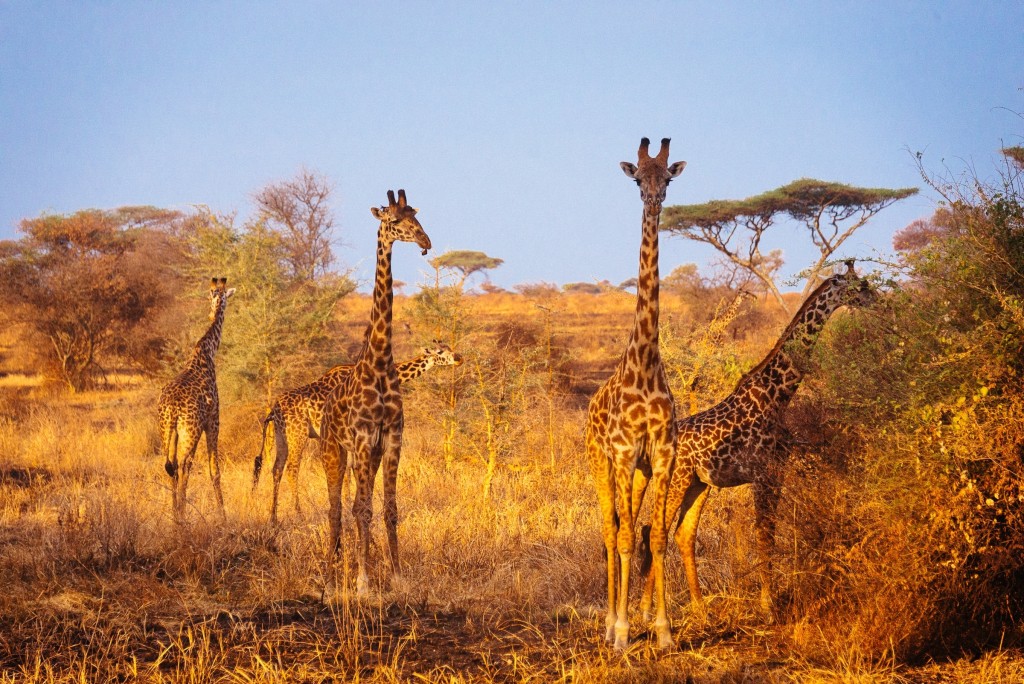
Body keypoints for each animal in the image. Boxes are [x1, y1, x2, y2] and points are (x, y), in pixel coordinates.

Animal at [157, 276, 235, 518]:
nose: (213, 313)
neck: (207, 351)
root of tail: (172, 409)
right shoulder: (214, 420)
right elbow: (214, 471)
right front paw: (223, 515)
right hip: (189, 432)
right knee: (184, 465)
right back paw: (182, 517)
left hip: (167, 431)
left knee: (171, 466)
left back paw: (175, 516)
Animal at [251, 342, 464, 524]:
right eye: (440, 352)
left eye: (449, 347)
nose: (459, 358)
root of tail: (274, 409)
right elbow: (351, 470)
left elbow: (348, 470)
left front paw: (348, 505)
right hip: (298, 432)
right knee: (292, 468)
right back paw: (299, 514)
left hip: (282, 434)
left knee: (276, 468)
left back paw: (273, 517)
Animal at [321, 187, 430, 593]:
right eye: (395, 220)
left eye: (417, 216)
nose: (425, 242)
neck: (381, 362)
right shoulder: (365, 438)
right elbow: (363, 510)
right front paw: (363, 581)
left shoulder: (392, 439)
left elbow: (389, 508)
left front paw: (398, 577)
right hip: (334, 453)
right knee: (336, 509)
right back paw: (331, 576)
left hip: (361, 456)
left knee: (354, 504)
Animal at [638, 260, 872, 614]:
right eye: (861, 286)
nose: (879, 299)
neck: (779, 395)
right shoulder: (762, 474)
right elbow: (764, 534)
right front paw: (767, 604)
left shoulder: (777, 471)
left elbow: (769, 533)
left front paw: (768, 599)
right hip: (676, 479)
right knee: (657, 531)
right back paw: (646, 610)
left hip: (698, 484)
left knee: (682, 534)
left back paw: (699, 607)